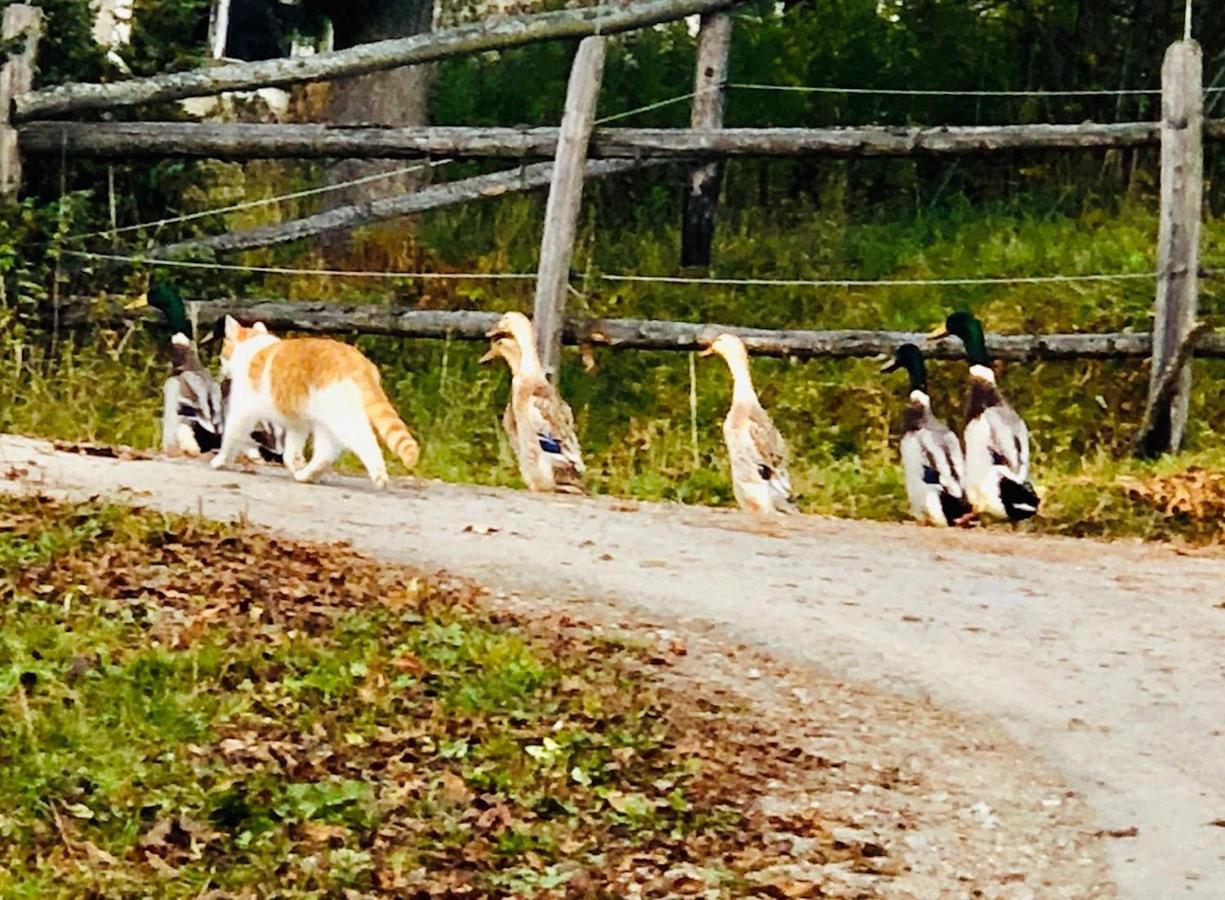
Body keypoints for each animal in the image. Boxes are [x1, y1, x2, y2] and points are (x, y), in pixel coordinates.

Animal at [213, 315, 418, 489]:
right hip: (326, 422)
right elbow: (291, 452)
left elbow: (230, 436)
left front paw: (221, 460)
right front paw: (297, 465)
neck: (253, 347)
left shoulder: (242, 412)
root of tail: (357, 361)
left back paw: (378, 475)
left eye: (223, 352)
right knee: (326, 453)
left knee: (364, 443)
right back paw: (307, 475)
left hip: (340, 418)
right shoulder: (297, 423)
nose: (221, 366)